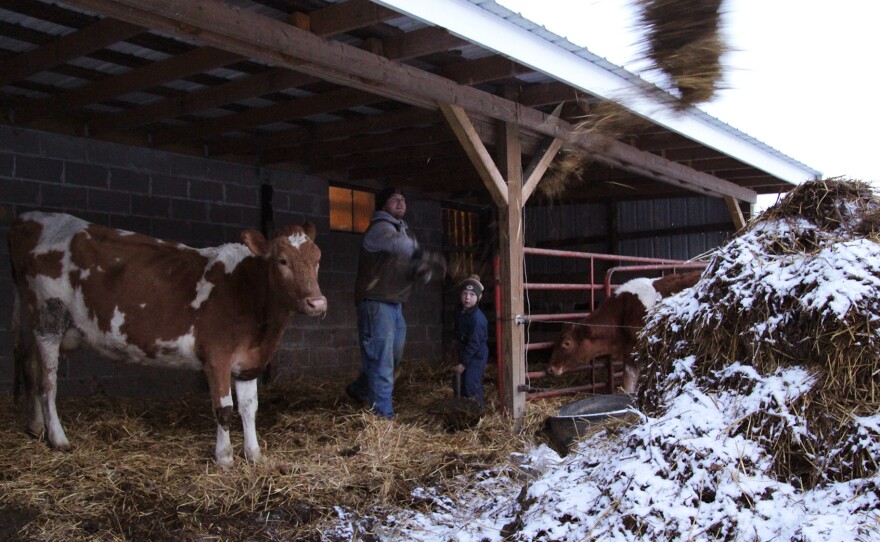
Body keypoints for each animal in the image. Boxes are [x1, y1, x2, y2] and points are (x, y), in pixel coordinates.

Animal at [9, 212, 326, 468]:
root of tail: (31, 219)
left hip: (51, 327)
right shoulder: (217, 355)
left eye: (317, 259)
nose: (318, 303)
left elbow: (249, 408)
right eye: (282, 260)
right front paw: (224, 458)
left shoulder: (248, 361)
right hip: (49, 318)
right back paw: (58, 438)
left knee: (30, 364)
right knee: (48, 383)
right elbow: (223, 409)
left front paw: (254, 454)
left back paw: (35, 426)